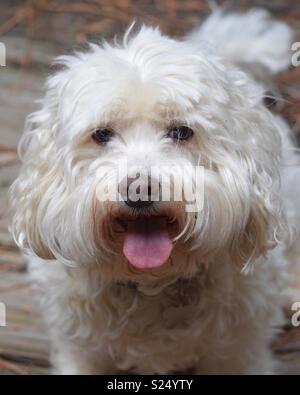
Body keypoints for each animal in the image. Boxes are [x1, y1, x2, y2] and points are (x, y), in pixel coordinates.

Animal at [9, 8, 300, 374]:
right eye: (101, 134)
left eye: (181, 132)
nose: (139, 190)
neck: (151, 283)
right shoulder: (81, 351)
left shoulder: (238, 352)